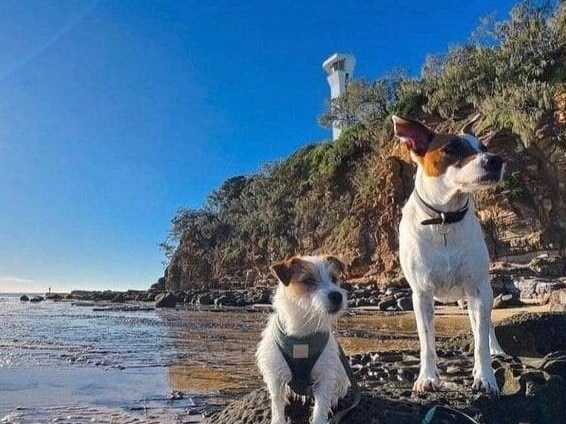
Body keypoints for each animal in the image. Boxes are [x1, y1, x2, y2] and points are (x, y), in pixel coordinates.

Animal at [258, 255, 350, 424]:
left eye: (334, 279)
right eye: (308, 280)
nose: (337, 295)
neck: (302, 334)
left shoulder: (324, 375)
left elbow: (321, 406)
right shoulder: (276, 377)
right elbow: (277, 404)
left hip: (340, 371)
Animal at [392, 114, 508, 396]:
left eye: (483, 147)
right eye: (452, 149)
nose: (495, 160)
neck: (445, 219)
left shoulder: (477, 289)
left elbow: (480, 340)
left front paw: (485, 377)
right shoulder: (422, 294)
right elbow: (427, 342)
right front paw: (427, 377)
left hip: (482, 292)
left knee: (486, 325)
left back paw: (496, 349)